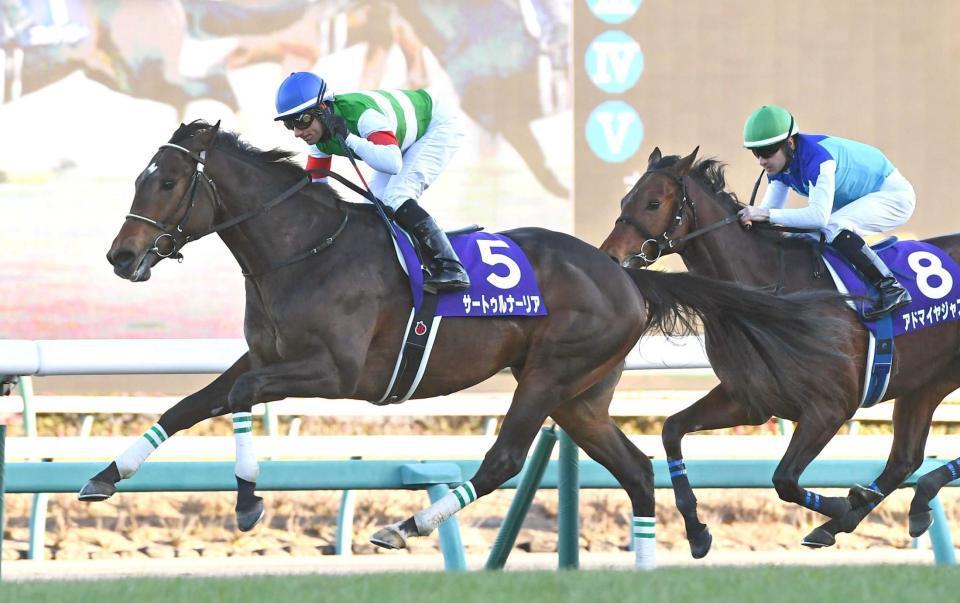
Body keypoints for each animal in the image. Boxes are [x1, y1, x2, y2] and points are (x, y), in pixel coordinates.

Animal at [81, 121, 851, 564]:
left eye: (168, 180)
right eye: (142, 177)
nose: (121, 256)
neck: (304, 247)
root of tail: (626, 275)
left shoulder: (336, 371)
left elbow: (236, 396)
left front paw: (246, 501)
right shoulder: (270, 356)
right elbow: (189, 404)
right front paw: (105, 474)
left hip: (548, 375)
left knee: (505, 457)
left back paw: (409, 523)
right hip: (581, 397)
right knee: (635, 470)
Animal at [599, 146, 960, 555]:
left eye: (654, 203)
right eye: (624, 200)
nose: (610, 257)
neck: (768, 294)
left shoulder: (830, 407)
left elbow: (784, 479)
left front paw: (843, 504)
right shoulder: (749, 399)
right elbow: (671, 430)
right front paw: (697, 530)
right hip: (927, 382)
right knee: (904, 459)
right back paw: (902, 506)